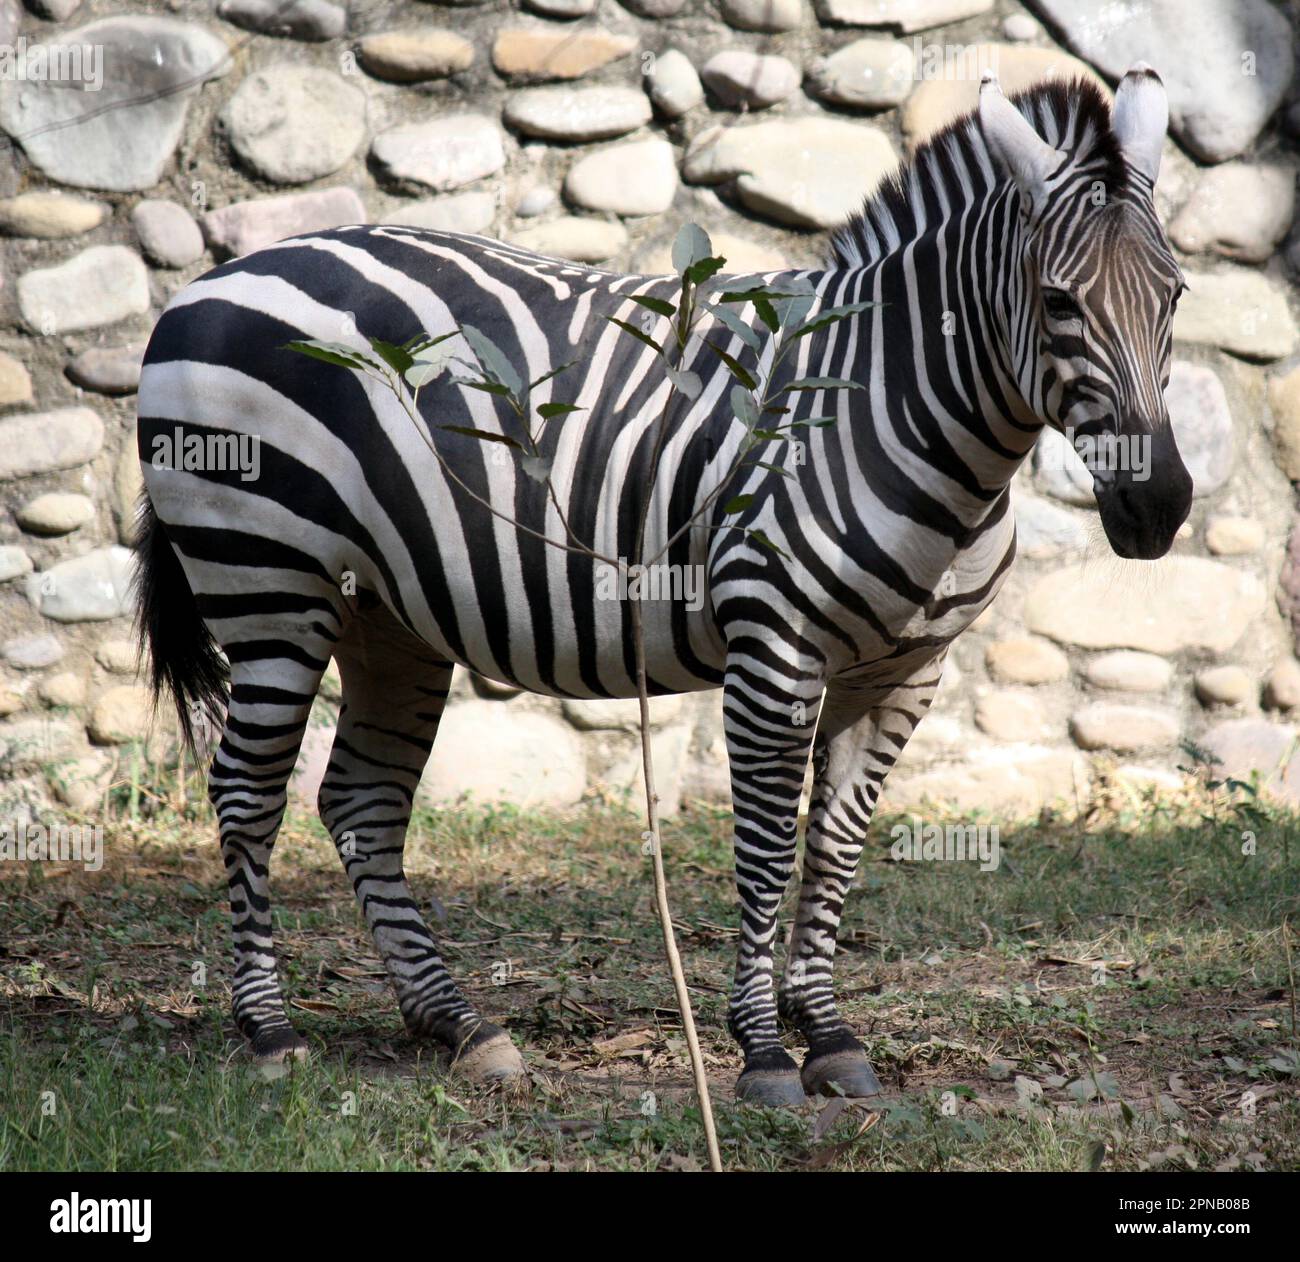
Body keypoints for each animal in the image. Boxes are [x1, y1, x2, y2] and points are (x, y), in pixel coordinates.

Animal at [137, 69, 1190, 1107]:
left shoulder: (905, 668)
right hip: (269, 580)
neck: (892, 407)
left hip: (385, 615)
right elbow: (766, 846)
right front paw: (763, 1053)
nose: (1159, 506)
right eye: (1058, 302)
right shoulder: (774, 647)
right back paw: (271, 1031)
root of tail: (218, 277)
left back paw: (460, 1025)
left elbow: (835, 844)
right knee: (247, 789)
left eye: (1176, 296)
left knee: (362, 801)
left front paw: (831, 1037)